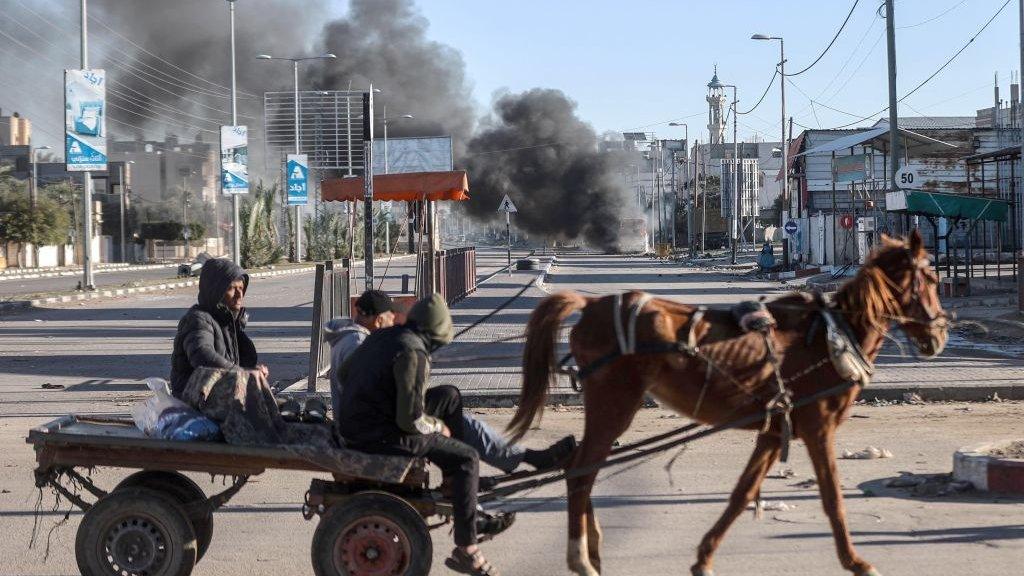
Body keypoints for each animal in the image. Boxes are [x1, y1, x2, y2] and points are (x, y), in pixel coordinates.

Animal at [507, 229, 946, 573]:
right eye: (932, 277)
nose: (939, 336)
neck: (832, 335)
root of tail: (589, 305)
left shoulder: (774, 431)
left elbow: (742, 494)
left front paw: (704, 557)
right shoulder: (818, 427)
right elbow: (832, 497)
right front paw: (856, 562)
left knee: (582, 467)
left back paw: (593, 548)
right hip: (614, 402)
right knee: (581, 472)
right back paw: (580, 557)